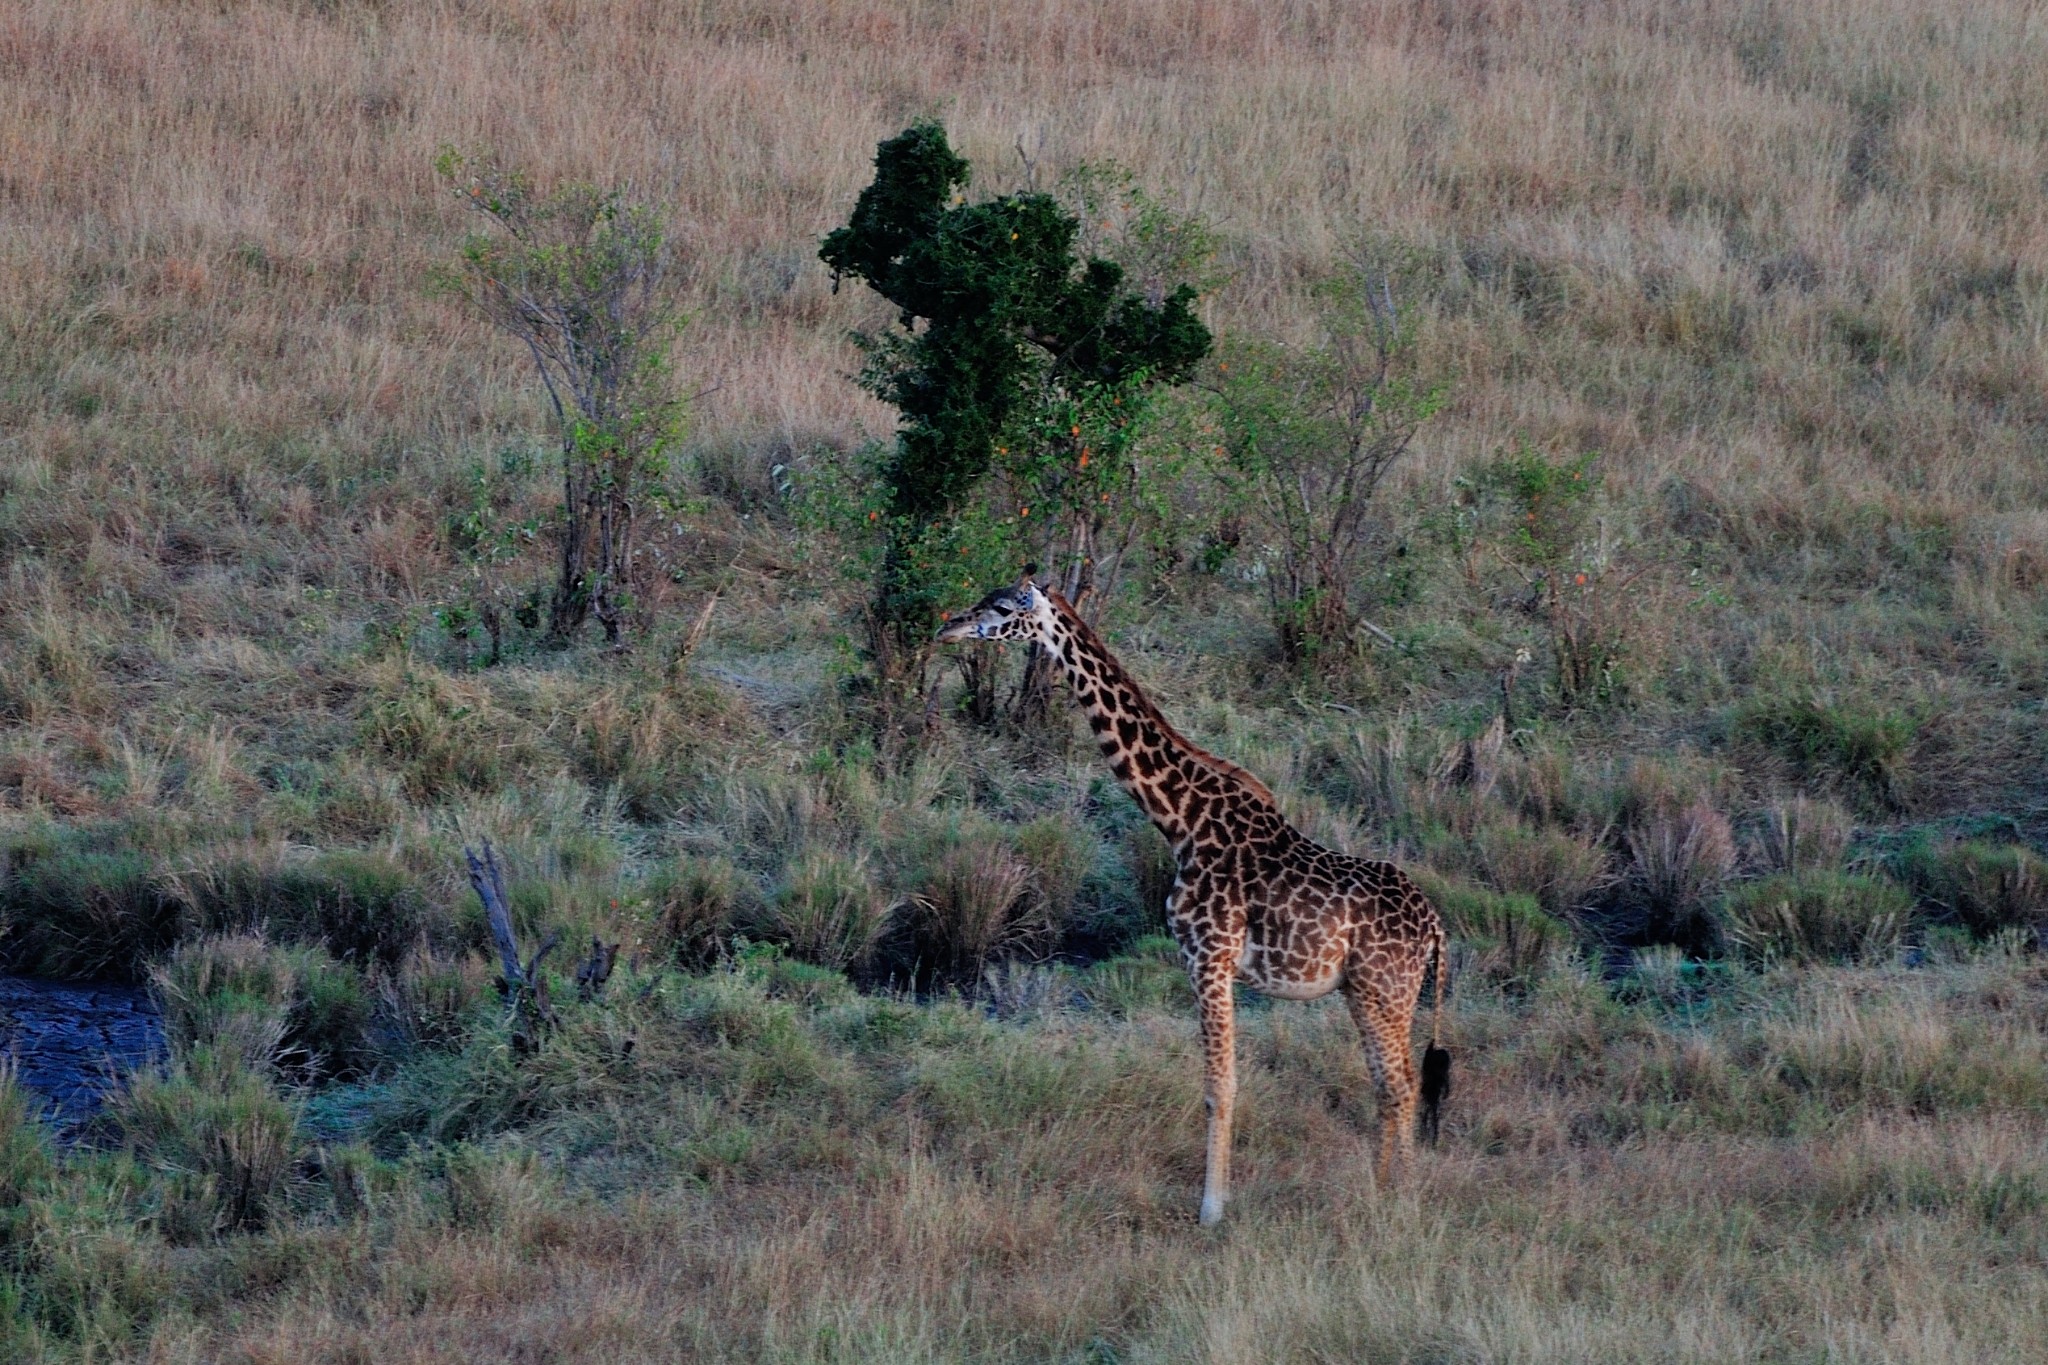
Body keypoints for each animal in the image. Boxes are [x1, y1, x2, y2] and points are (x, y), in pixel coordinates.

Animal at [937, 568, 1449, 1227]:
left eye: (1002, 608)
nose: (948, 627)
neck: (1180, 819)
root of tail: (1436, 926)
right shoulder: (1213, 963)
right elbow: (1220, 1082)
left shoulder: (1207, 957)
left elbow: (1218, 1086)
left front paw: (1211, 1211)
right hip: (1371, 993)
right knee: (1393, 1082)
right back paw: (1383, 1189)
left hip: (1385, 992)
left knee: (1401, 1084)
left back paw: (1399, 1199)